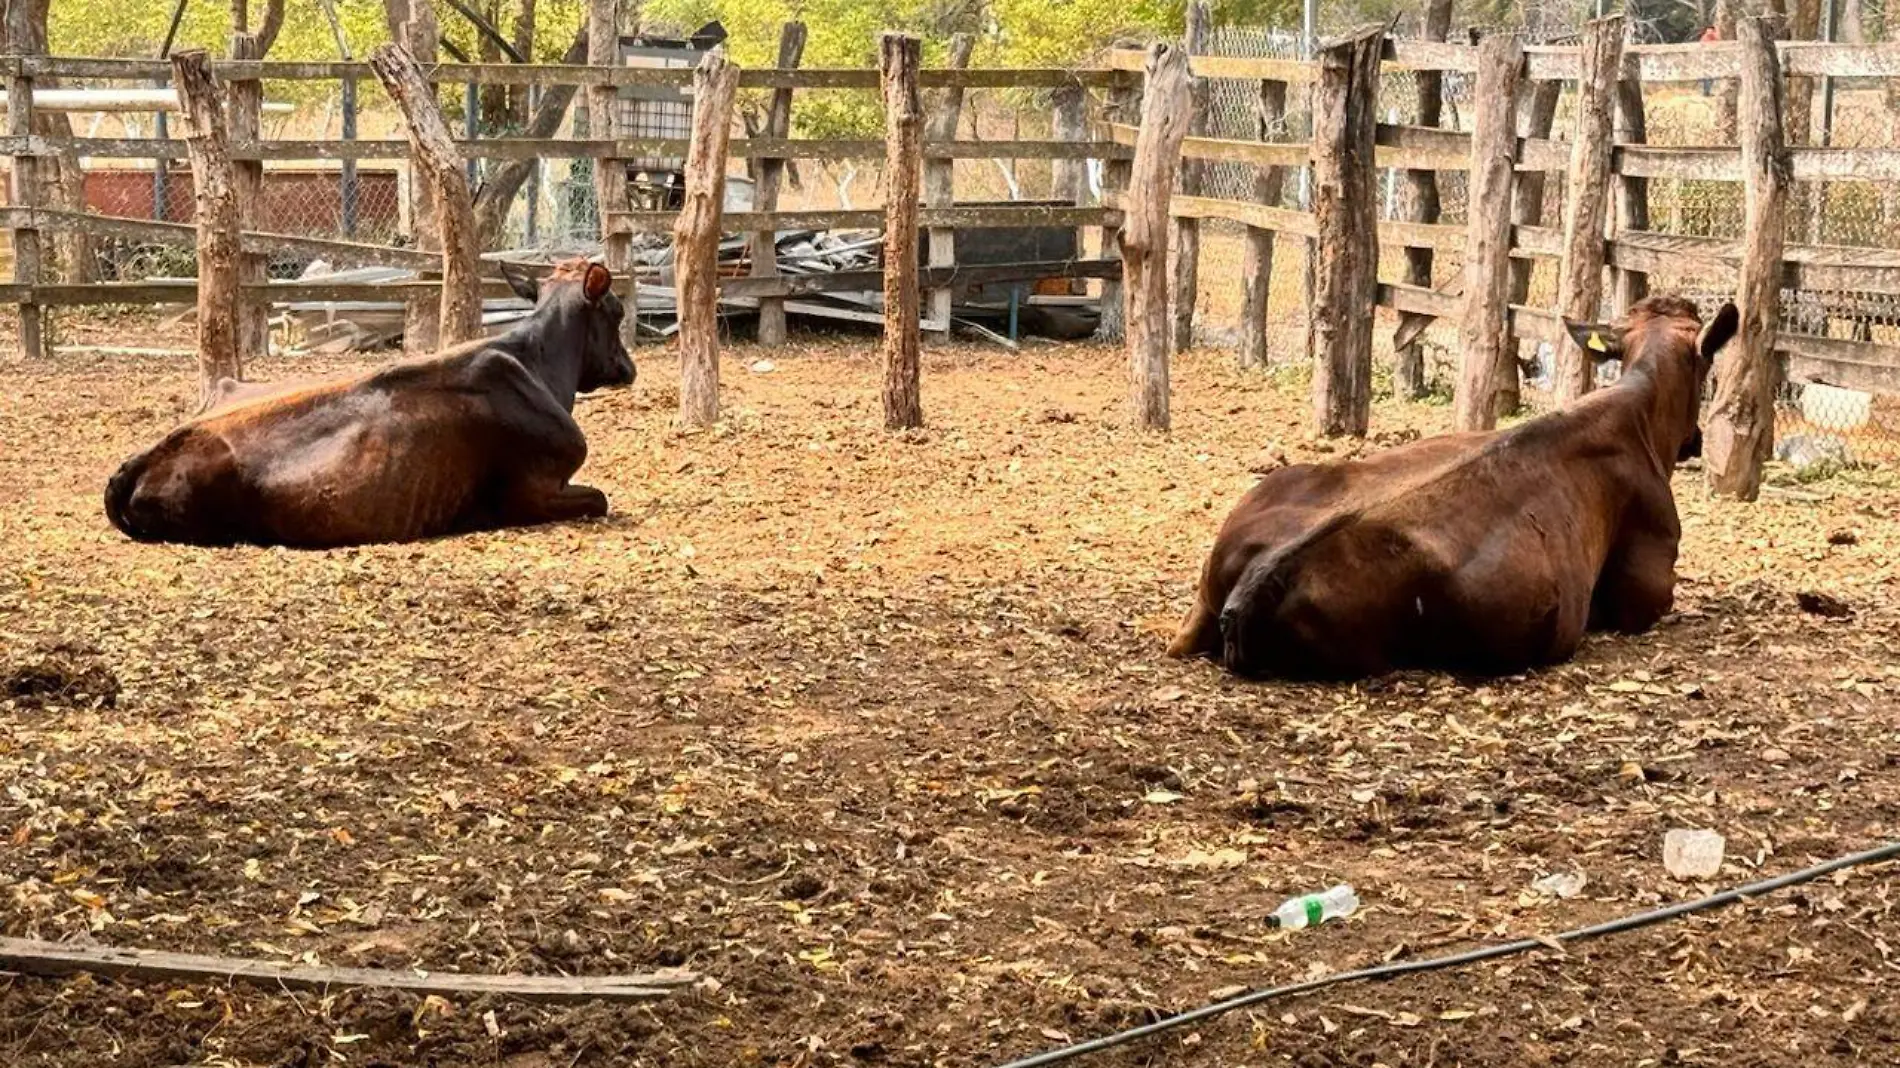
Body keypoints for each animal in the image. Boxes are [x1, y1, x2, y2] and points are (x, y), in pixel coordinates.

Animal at [107, 256, 634, 539]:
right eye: (615, 310)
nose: (628, 366)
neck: (535, 363)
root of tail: (146, 455)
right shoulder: (534, 489)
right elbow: (602, 498)